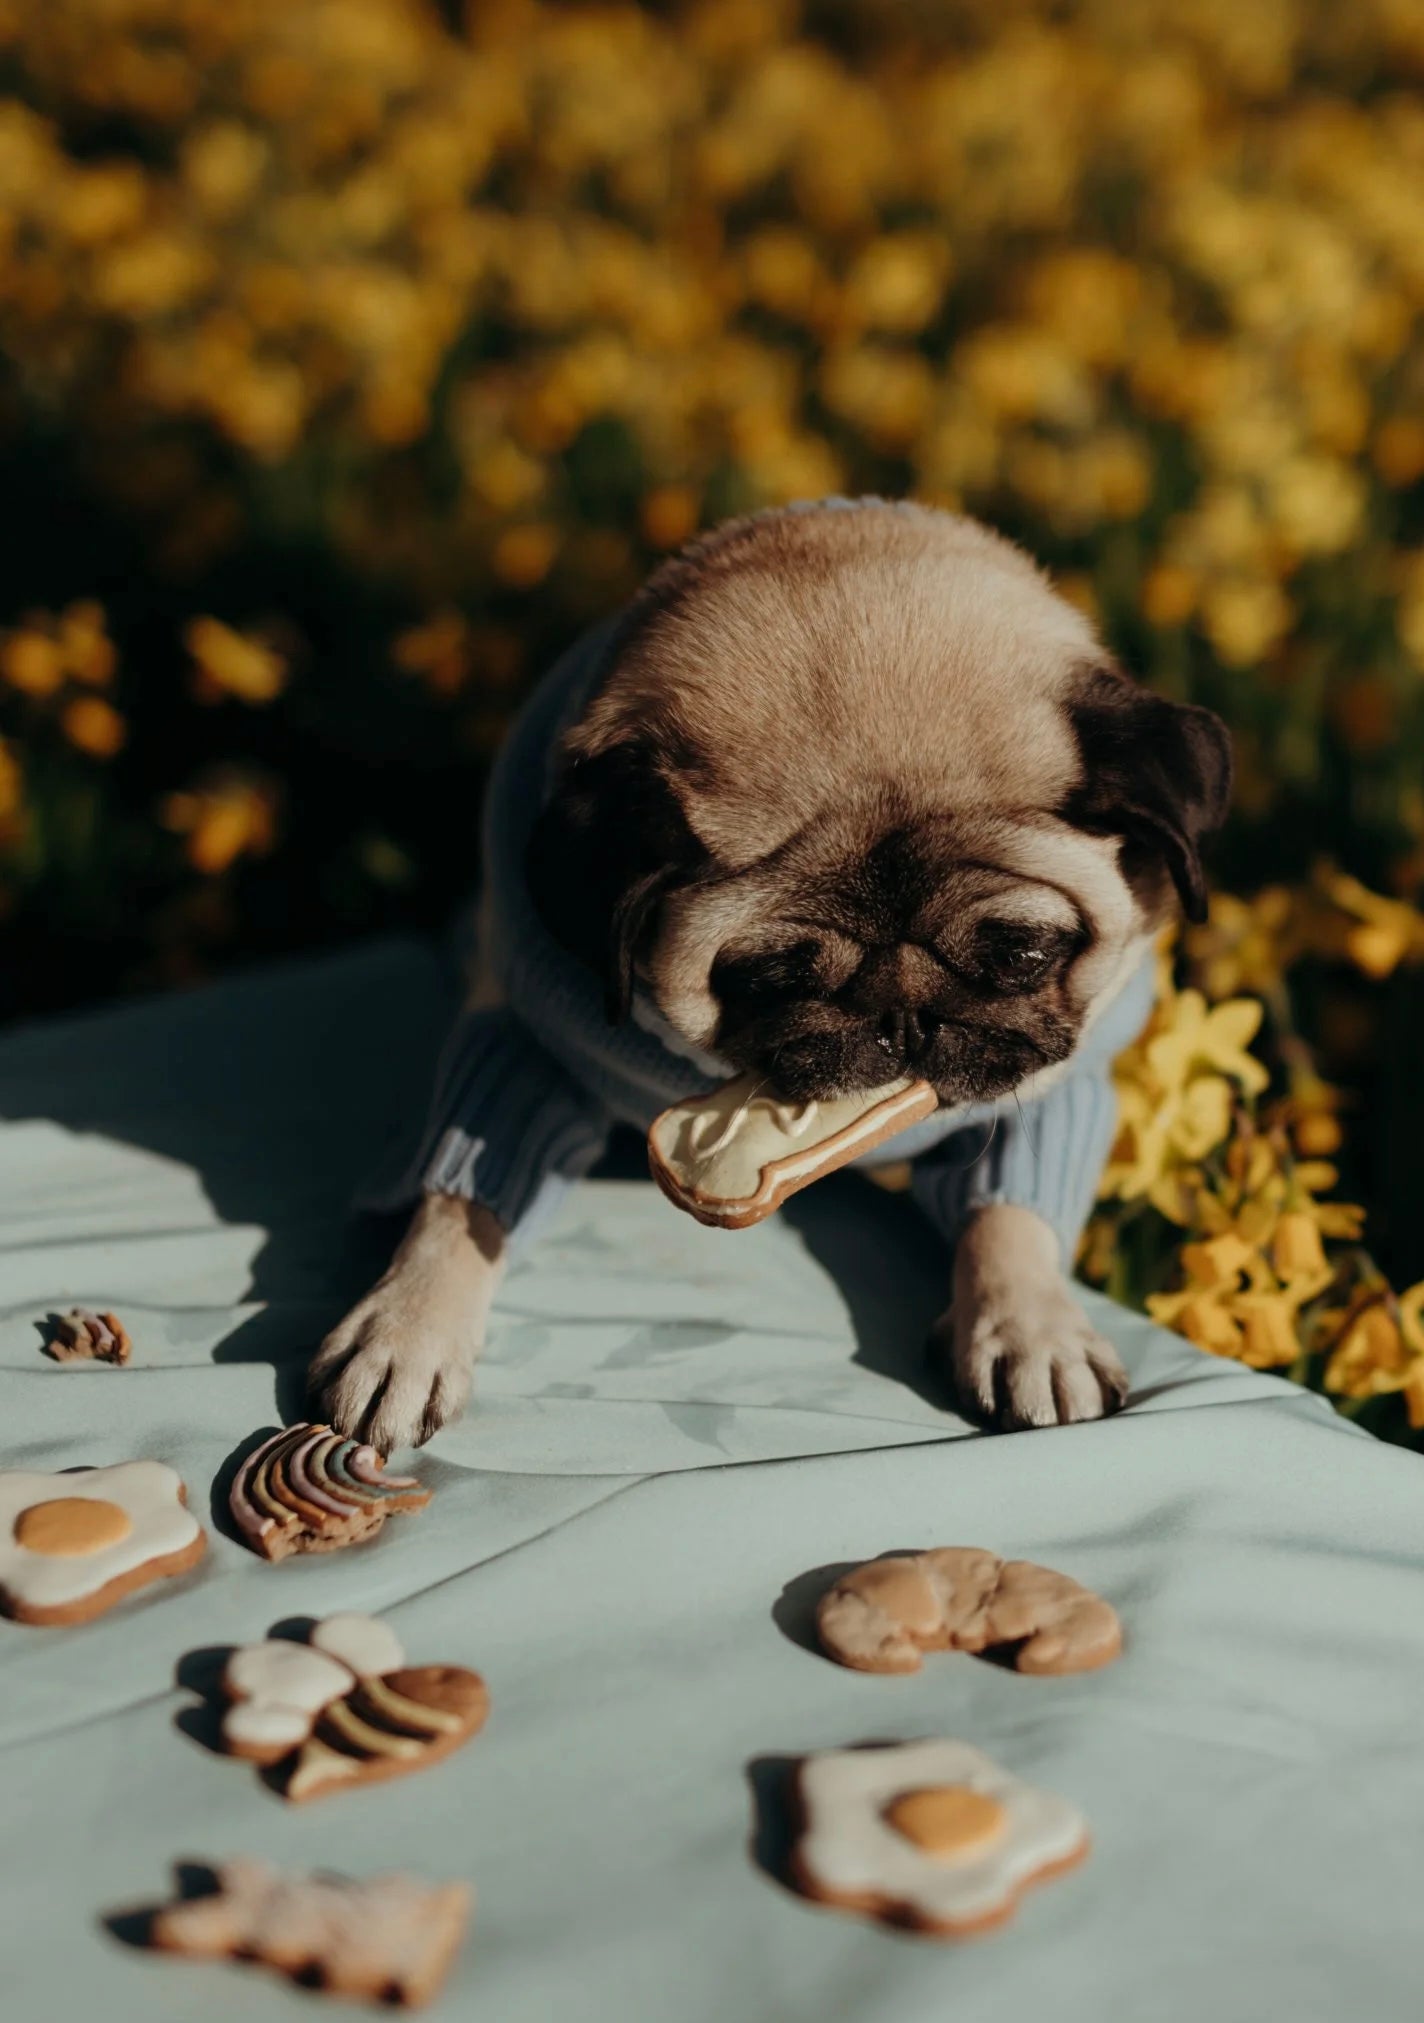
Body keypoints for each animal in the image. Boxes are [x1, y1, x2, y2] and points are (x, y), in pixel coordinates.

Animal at [309, 501, 1221, 1456]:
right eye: (774, 978)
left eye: (1021, 955)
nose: (905, 1014)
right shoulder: (526, 1048)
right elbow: (462, 1201)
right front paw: (407, 1325)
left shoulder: (1052, 1092)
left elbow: (1010, 1213)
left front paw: (1033, 1329)